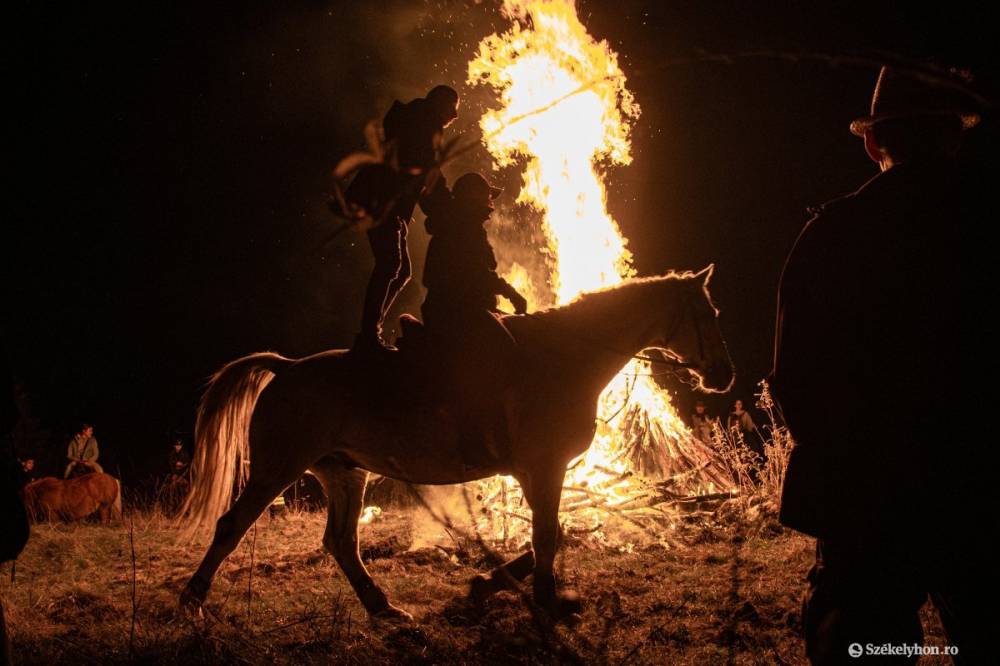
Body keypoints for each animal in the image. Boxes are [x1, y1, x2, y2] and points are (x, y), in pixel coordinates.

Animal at [178, 264, 736, 616]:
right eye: (708, 314)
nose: (725, 374)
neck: (563, 357)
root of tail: (288, 367)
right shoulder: (544, 467)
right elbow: (548, 536)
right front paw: (546, 601)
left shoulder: (537, 472)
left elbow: (550, 536)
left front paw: (491, 585)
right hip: (278, 469)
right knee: (231, 527)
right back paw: (192, 600)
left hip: (345, 474)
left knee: (341, 543)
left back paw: (383, 607)